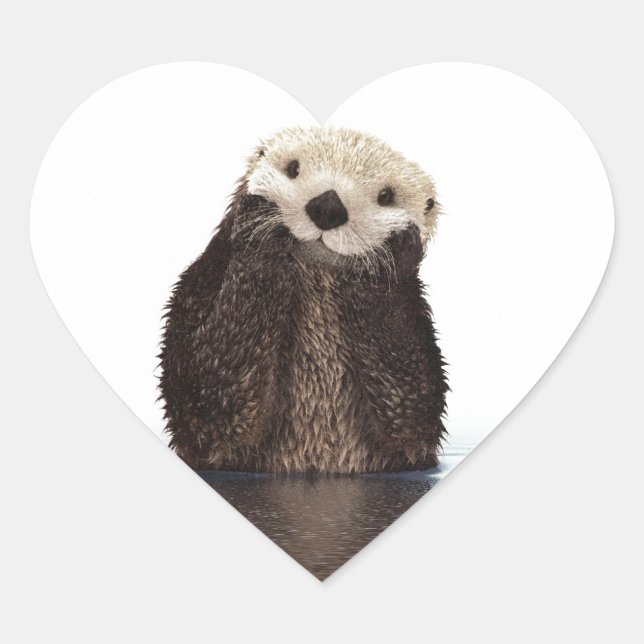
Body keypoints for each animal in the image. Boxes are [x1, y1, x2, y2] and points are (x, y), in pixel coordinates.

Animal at [159, 127, 447, 473]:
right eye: (293, 169)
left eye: (386, 196)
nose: (328, 206)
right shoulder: (199, 288)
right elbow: (209, 396)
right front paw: (259, 222)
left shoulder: (416, 332)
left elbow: (411, 411)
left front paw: (389, 253)